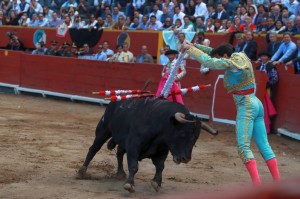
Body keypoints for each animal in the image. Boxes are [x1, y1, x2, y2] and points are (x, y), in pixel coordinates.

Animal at [77, 98, 218, 193]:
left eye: (196, 138)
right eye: (182, 134)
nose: (185, 158)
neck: (160, 124)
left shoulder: (162, 150)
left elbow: (160, 166)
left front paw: (156, 183)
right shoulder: (133, 145)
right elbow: (134, 165)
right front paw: (129, 185)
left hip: (121, 141)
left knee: (119, 153)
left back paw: (120, 173)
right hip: (103, 130)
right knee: (93, 149)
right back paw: (82, 172)